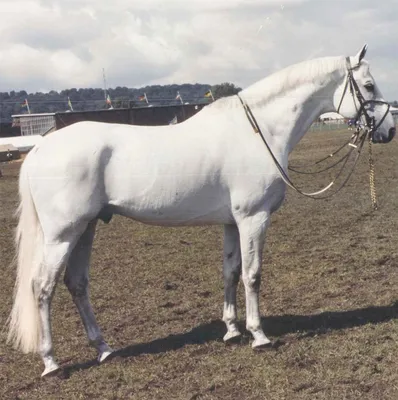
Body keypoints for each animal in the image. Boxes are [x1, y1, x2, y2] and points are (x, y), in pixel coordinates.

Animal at [6, 44, 394, 378]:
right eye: (368, 85)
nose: (388, 130)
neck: (260, 131)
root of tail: (39, 148)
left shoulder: (232, 223)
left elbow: (231, 272)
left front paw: (232, 331)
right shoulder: (253, 218)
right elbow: (253, 274)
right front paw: (259, 336)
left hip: (86, 228)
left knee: (77, 284)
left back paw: (104, 349)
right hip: (62, 235)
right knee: (42, 288)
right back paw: (52, 363)